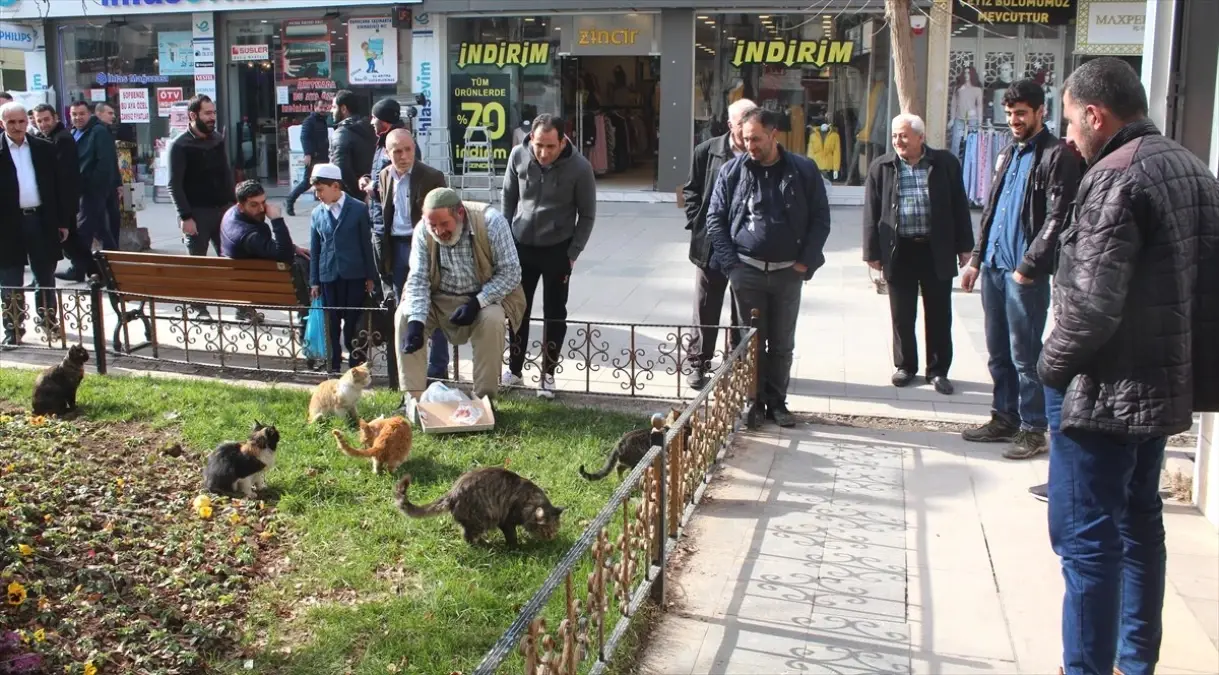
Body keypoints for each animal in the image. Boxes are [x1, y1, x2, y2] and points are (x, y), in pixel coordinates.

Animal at [399, 467, 570, 545]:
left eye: (555, 530)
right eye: (548, 530)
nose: (552, 538)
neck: (528, 501)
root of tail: (452, 494)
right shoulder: (506, 521)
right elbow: (512, 536)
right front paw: (516, 546)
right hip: (481, 519)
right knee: (468, 537)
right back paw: (484, 544)